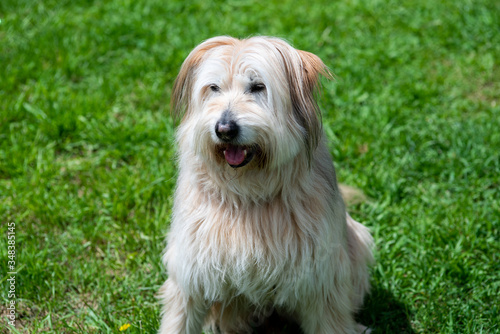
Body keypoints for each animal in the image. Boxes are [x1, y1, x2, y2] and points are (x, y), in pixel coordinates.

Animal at [158, 36, 374, 334]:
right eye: (214, 88)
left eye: (258, 86)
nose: (224, 129)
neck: (247, 195)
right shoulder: (191, 267)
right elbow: (180, 317)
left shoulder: (322, 277)